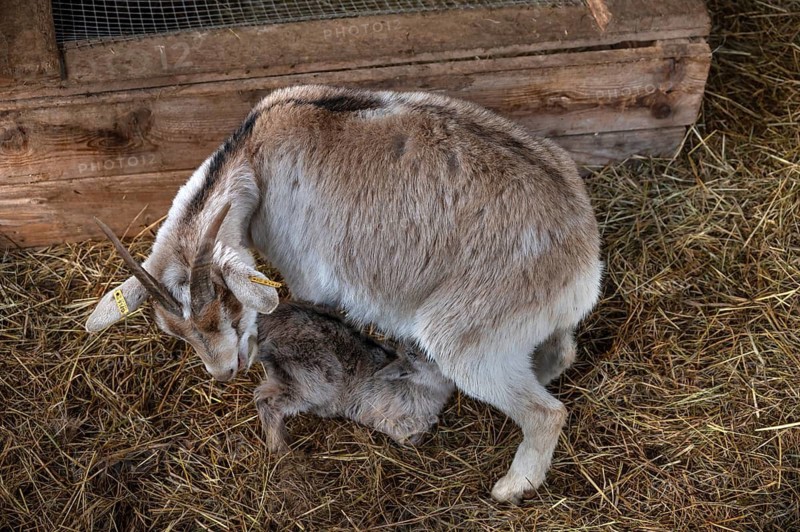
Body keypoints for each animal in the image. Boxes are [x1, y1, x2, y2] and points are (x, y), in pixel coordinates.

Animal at [251, 300, 454, 452]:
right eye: (427, 357)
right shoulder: (391, 420)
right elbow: (411, 438)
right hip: (313, 380)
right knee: (268, 402)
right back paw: (281, 447)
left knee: (262, 394)